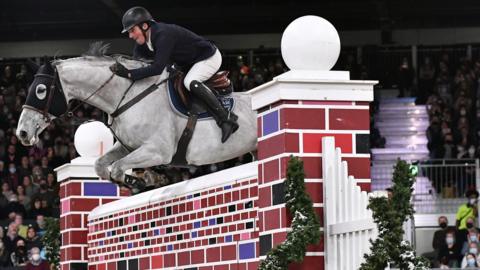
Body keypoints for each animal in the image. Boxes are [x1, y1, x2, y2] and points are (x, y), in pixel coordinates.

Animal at [15, 49, 256, 188]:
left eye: (40, 90)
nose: (22, 133)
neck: (128, 96)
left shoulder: (157, 151)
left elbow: (118, 168)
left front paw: (147, 180)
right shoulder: (128, 147)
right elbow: (101, 166)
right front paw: (143, 181)